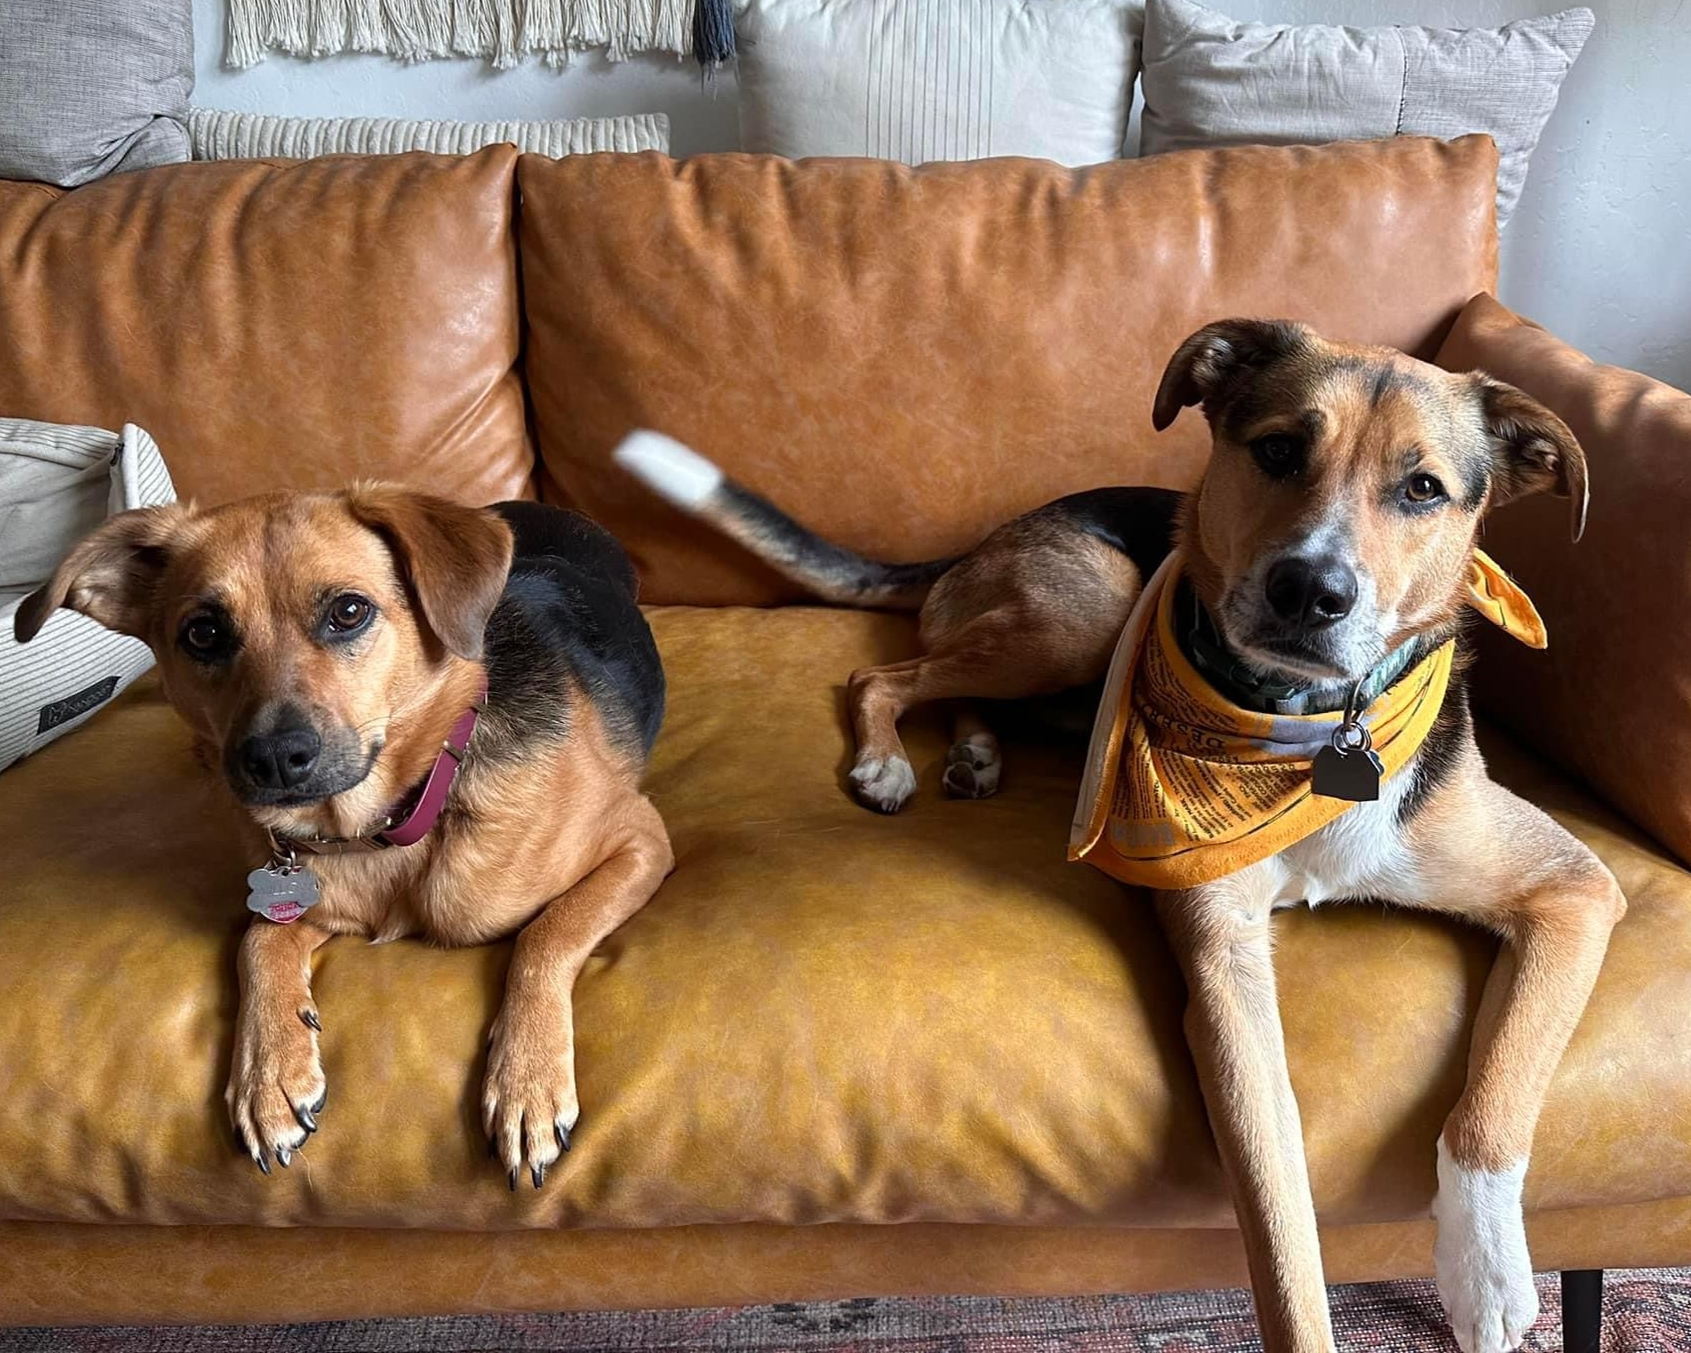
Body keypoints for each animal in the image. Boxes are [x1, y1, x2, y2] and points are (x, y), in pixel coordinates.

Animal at [16, 490, 673, 1190]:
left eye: (349, 612)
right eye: (203, 633)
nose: (275, 760)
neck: (379, 825)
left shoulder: (640, 838)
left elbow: (546, 935)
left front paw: (528, 1080)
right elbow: (258, 939)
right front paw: (270, 1069)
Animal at [618, 319, 1623, 1353]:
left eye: (1422, 487)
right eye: (1278, 450)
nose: (1309, 590)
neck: (1308, 729)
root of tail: (980, 539)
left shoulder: (1575, 888)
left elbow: (1496, 1095)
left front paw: (1487, 1270)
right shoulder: (1224, 974)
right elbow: (1283, 1227)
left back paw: (973, 754)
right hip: (1087, 605)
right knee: (882, 676)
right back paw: (890, 761)